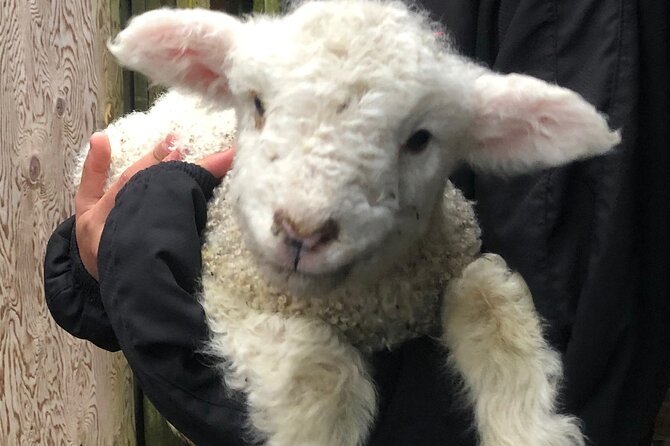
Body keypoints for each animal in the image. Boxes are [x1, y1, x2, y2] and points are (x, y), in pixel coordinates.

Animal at [90, 0, 624, 446]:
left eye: (421, 139)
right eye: (257, 104)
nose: (302, 232)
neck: (366, 307)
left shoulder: (450, 265)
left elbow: (491, 302)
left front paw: (531, 431)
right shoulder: (231, 292)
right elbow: (318, 372)